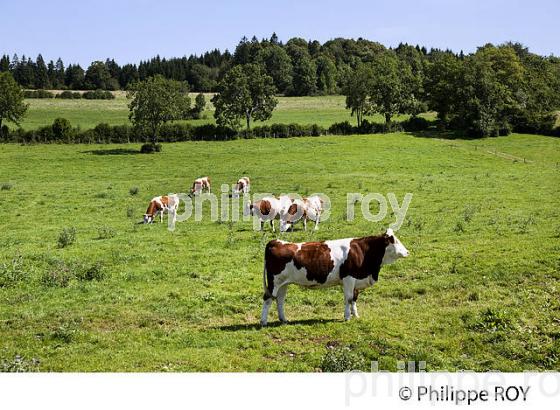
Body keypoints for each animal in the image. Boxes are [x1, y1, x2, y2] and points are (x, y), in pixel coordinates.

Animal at [260, 227, 410, 326]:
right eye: (395, 241)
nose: (407, 252)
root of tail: (276, 241)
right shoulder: (349, 278)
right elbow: (348, 298)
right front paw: (347, 317)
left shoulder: (355, 280)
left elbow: (354, 298)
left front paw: (356, 315)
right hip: (274, 281)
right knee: (268, 299)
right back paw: (263, 322)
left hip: (284, 283)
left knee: (279, 300)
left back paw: (283, 320)